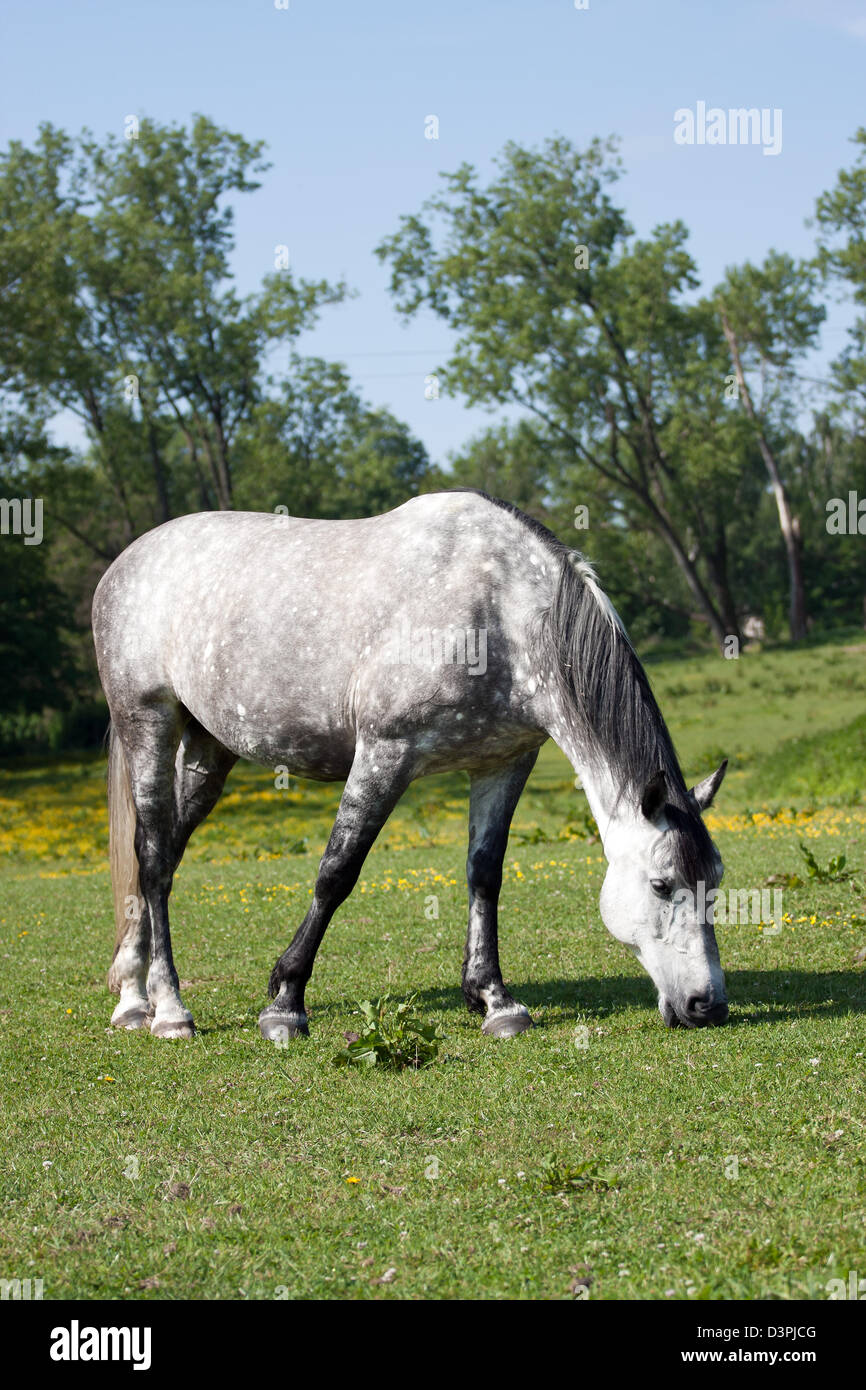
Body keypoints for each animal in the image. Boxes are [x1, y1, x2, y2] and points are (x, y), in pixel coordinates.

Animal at [92, 489, 729, 1042]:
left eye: (716, 882)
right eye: (661, 884)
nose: (708, 1005)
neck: (499, 609)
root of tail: (126, 562)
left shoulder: (505, 762)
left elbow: (484, 874)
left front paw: (494, 999)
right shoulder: (386, 752)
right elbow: (336, 872)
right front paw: (285, 1002)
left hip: (209, 747)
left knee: (164, 855)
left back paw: (132, 998)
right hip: (148, 721)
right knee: (153, 859)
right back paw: (169, 1009)